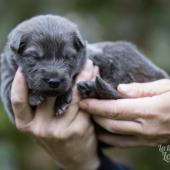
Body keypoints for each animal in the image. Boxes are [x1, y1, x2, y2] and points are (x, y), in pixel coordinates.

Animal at [0, 14, 169, 121]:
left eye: (68, 57)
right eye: (34, 57)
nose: (54, 82)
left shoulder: (94, 59)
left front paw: (62, 101)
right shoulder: (7, 78)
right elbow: (11, 88)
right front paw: (34, 95)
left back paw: (90, 86)